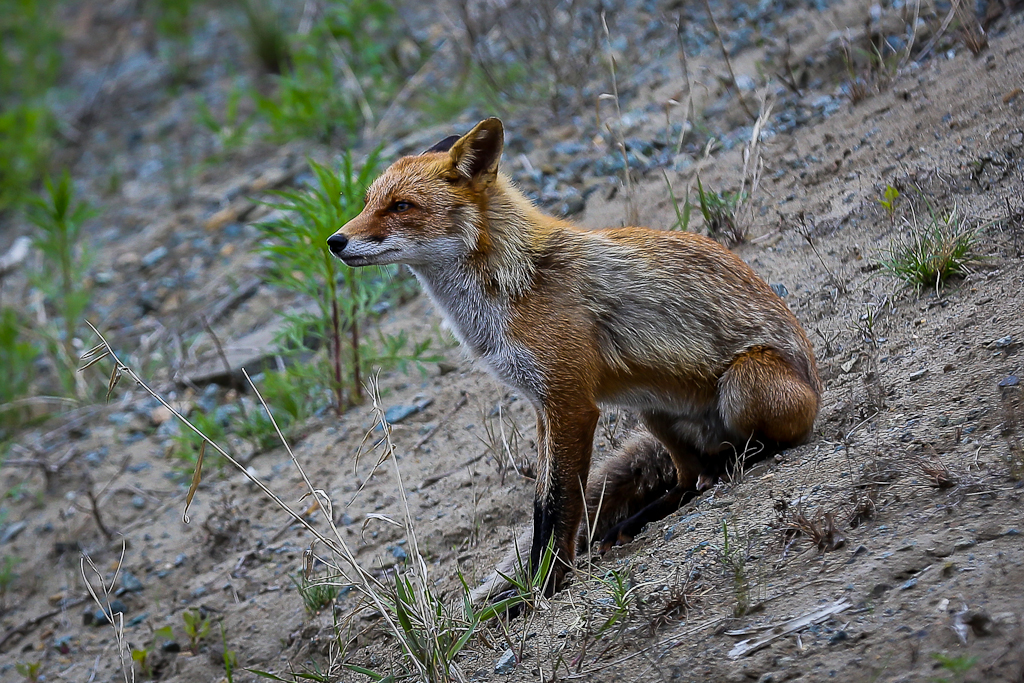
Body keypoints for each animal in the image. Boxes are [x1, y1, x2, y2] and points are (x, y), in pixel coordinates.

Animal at [327, 117, 823, 602]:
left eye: (401, 206)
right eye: (369, 203)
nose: (335, 241)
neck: (514, 283)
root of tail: (817, 384)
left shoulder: (571, 405)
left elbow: (560, 503)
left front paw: (545, 586)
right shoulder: (541, 405)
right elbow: (540, 506)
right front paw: (532, 586)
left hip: (744, 382)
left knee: (753, 449)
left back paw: (735, 463)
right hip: (652, 411)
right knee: (690, 477)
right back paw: (640, 519)